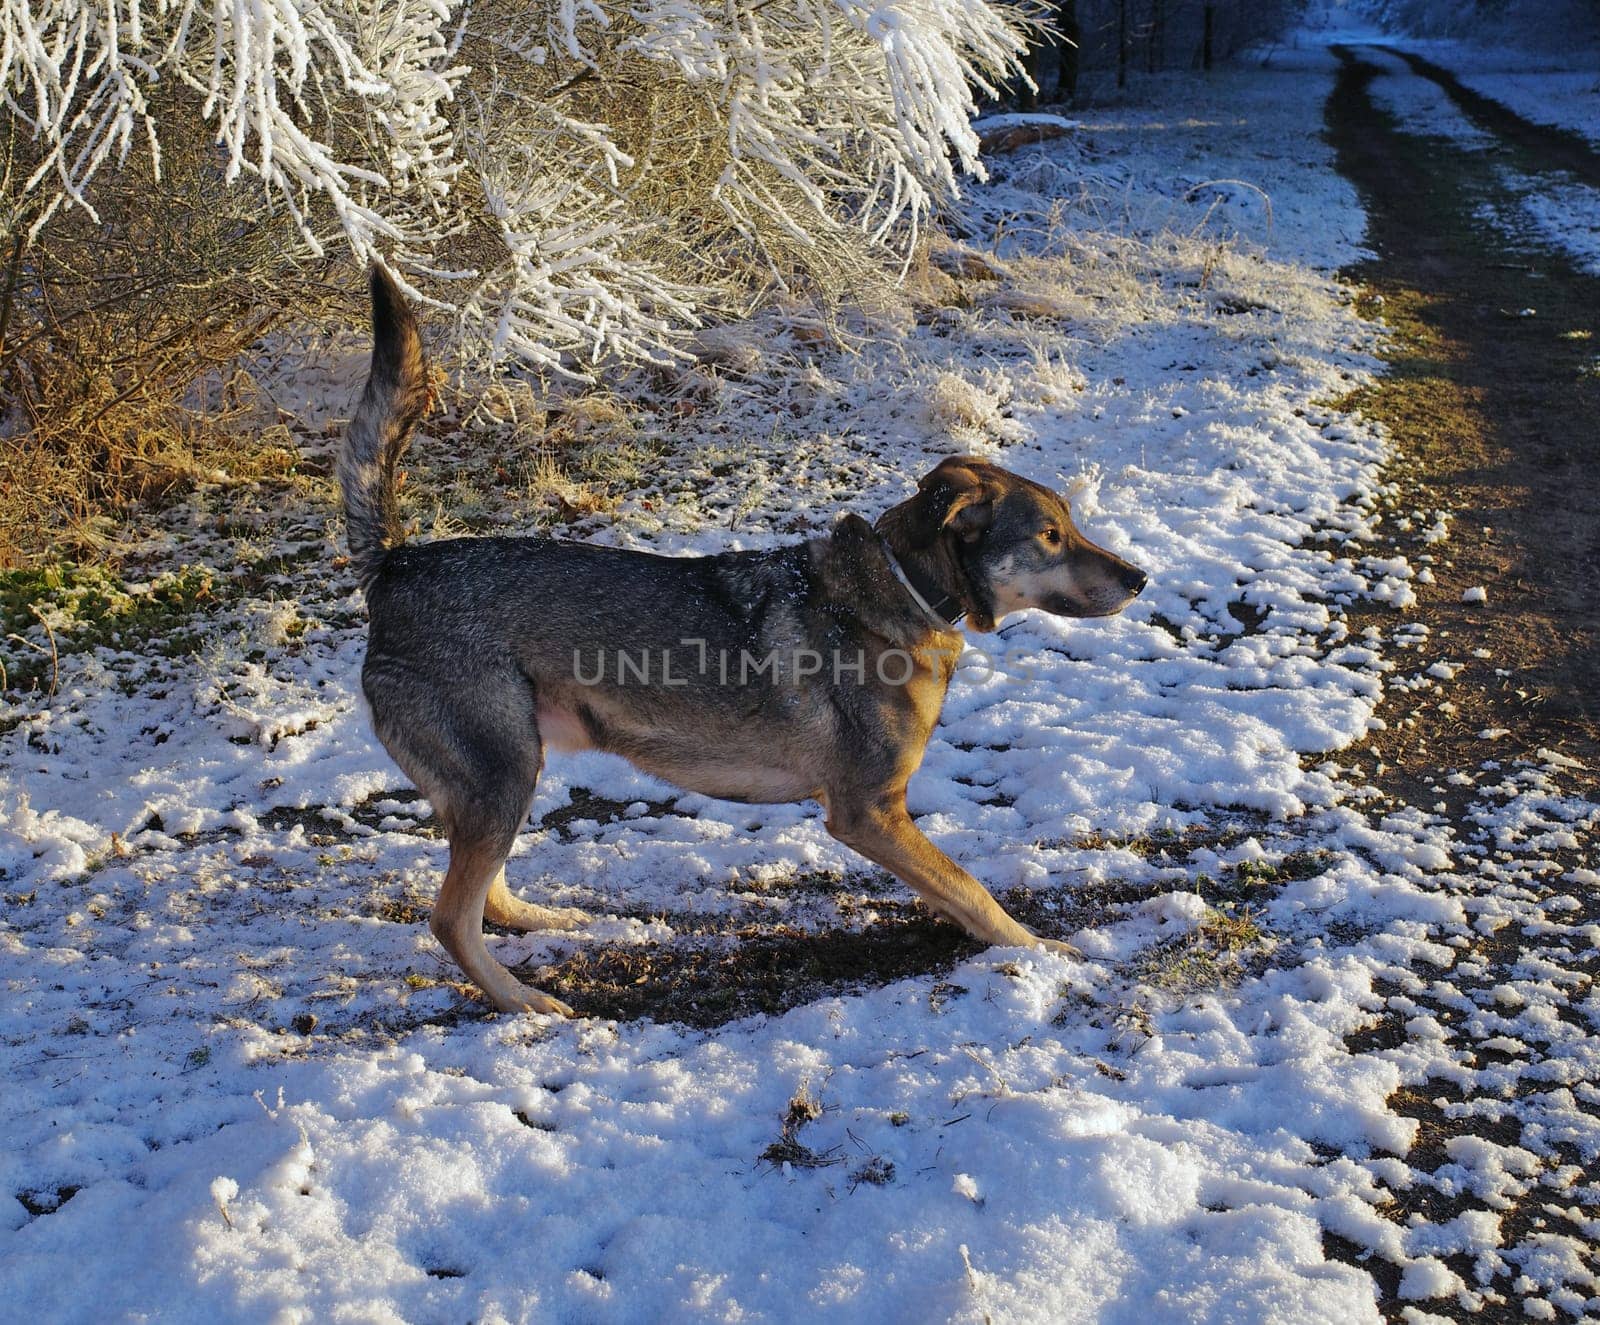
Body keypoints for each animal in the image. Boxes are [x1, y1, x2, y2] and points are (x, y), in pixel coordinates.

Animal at [337, 267, 1145, 1011]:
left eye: (1072, 524)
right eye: (1050, 536)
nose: (1139, 577)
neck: (904, 589)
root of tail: (397, 564)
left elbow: (956, 890)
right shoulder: (868, 811)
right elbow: (973, 887)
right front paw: (1043, 949)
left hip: (513, 773)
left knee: (490, 898)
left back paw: (550, 921)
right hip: (503, 776)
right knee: (451, 917)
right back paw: (523, 1001)